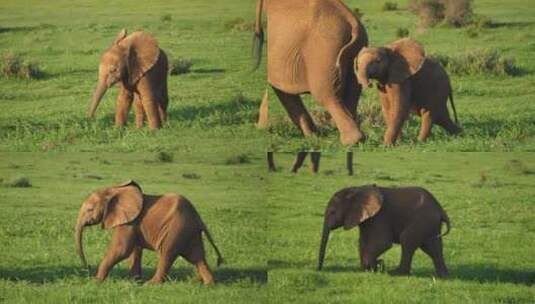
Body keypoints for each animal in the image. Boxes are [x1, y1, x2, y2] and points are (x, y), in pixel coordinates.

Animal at [75, 179, 222, 284]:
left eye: (89, 209)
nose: (87, 267)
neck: (114, 190)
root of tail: (198, 219)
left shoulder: (128, 223)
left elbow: (121, 250)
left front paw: (95, 281)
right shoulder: (133, 223)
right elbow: (134, 251)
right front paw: (135, 281)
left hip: (177, 229)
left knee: (166, 254)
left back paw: (151, 283)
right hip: (190, 233)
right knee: (197, 257)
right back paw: (208, 284)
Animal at [255, 0, 368, 175]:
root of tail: (353, 24)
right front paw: (312, 136)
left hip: (323, 52)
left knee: (327, 96)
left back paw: (350, 141)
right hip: (353, 53)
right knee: (352, 93)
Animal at [320, 184, 450, 280]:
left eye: (332, 212)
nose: (319, 269)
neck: (356, 189)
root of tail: (440, 209)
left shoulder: (380, 216)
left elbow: (382, 243)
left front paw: (375, 266)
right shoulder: (367, 218)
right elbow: (363, 242)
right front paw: (370, 268)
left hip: (422, 220)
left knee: (407, 240)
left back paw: (396, 273)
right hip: (430, 223)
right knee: (434, 247)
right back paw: (443, 276)